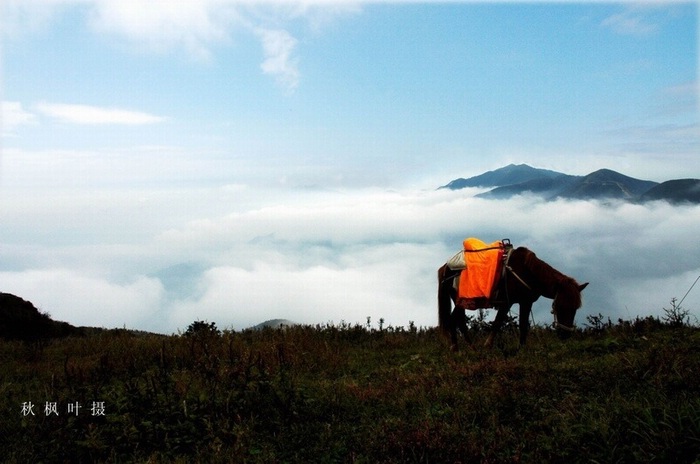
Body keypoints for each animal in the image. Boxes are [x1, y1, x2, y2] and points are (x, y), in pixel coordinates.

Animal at [440, 245, 588, 350]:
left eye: (575, 308)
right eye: (560, 306)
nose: (565, 335)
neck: (527, 272)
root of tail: (446, 268)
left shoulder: (526, 302)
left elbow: (523, 325)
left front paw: (521, 349)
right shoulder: (507, 302)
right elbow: (497, 322)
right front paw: (487, 346)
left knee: (459, 321)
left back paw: (470, 348)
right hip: (461, 301)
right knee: (453, 321)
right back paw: (456, 349)